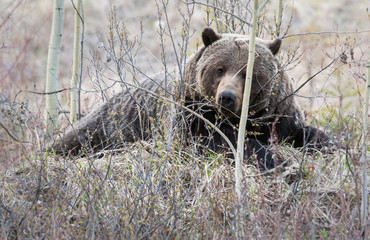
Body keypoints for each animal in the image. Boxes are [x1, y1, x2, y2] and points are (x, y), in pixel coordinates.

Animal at [50, 27, 330, 169]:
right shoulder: (191, 113)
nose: (226, 97)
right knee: (71, 142)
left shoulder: (277, 112)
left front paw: (326, 144)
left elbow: (304, 132)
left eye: (248, 73)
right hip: (106, 128)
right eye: (220, 69)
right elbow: (215, 142)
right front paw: (274, 159)